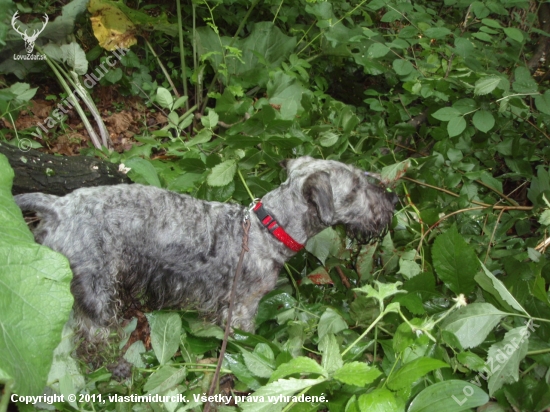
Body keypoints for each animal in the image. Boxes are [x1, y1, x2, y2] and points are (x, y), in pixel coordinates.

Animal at [15, 156, 398, 336]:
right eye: (356, 186)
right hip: (92, 290)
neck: (267, 229)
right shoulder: (241, 308)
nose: (393, 199)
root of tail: (57, 206)